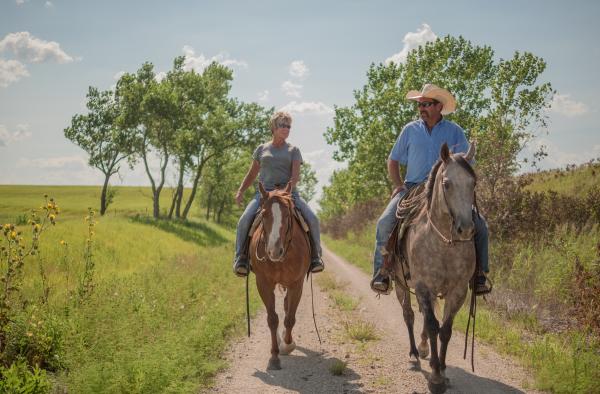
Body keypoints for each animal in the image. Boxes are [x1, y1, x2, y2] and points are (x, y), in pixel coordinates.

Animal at [250, 182, 312, 370]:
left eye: (287, 214)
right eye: (263, 214)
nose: (274, 251)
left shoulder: (296, 284)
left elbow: (290, 318)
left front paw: (288, 345)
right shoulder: (263, 284)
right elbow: (272, 319)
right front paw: (274, 357)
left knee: (286, 308)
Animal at [394, 142, 478, 394]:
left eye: (473, 183)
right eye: (447, 184)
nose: (466, 229)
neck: (444, 242)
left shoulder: (458, 291)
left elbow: (445, 330)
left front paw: (441, 368)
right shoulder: (422, 286)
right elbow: (433, 325)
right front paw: (435, 377)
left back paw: (423, 349)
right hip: (401, 284)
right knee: (410, 315)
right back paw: (414, 353)